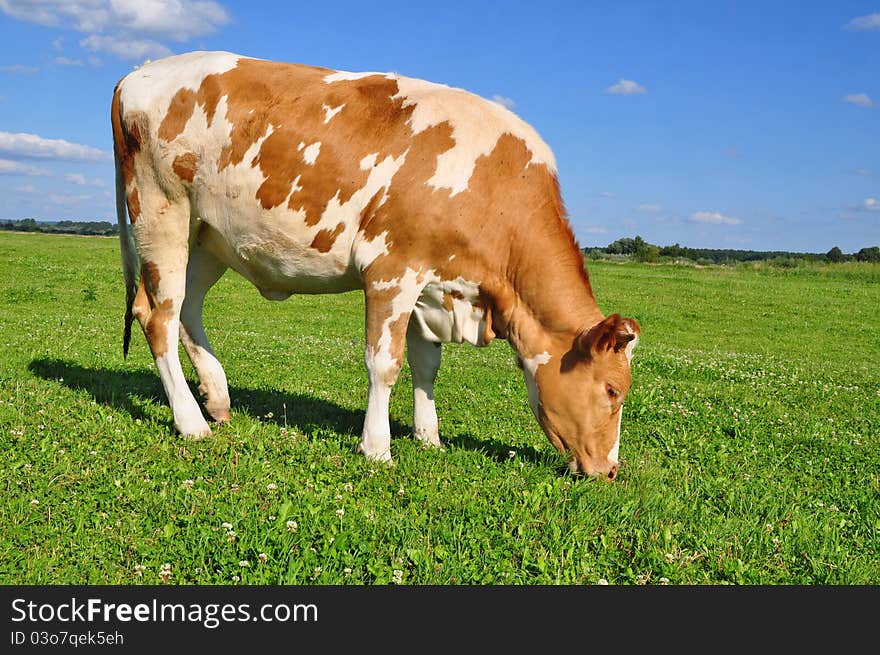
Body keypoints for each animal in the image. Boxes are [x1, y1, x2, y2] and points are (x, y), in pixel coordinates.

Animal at [113, 51, 644, 480]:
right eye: (613, 390)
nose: (611, 470)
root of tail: (137, 74)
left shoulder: (434, 286)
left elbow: (427, 366)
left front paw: (429, 437)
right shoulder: (392, 270)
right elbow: (384, 364)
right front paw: (377, 447)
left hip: (208, 237)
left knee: (186, 309)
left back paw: (218, 399)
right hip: (161, 211)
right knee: (158, 316)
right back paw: (191, 421)